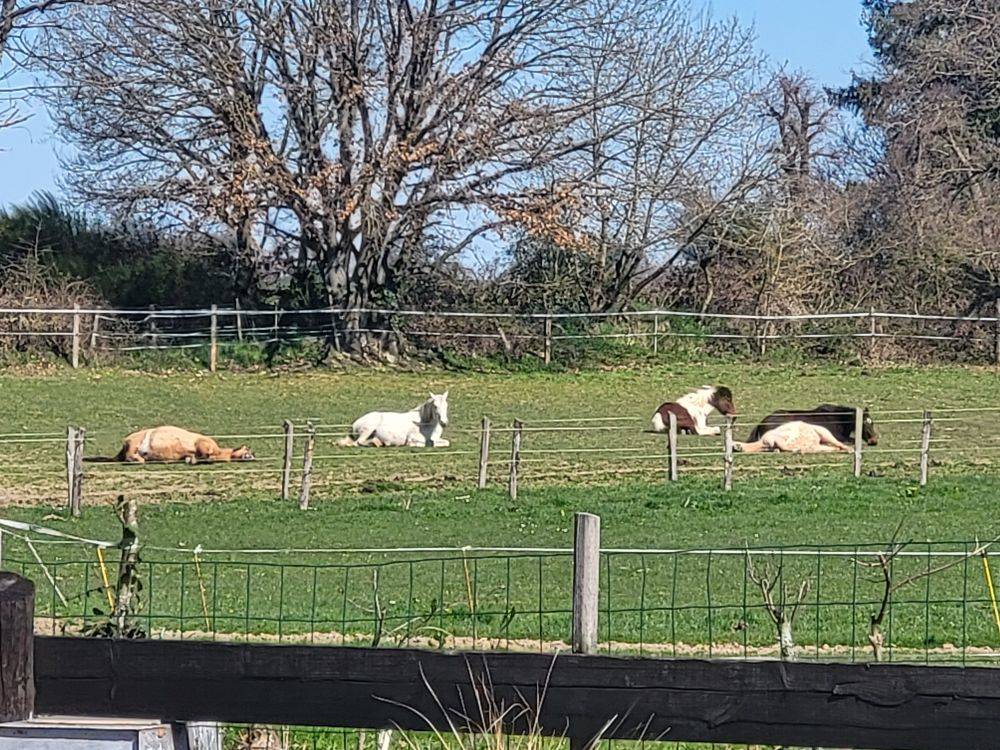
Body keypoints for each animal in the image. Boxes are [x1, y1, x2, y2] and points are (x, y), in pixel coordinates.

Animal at [114, 426, 254, 463]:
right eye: (247, 449)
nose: (252, 456)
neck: (218, 451)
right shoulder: (202, 443)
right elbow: (206, 455)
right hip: (135, 442)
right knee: (130, 456)